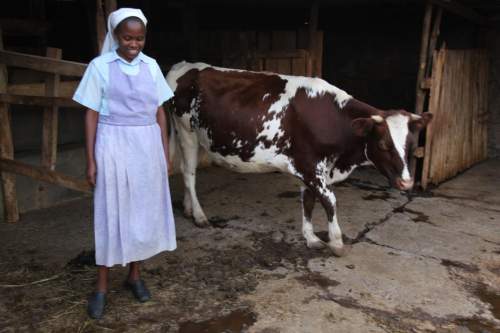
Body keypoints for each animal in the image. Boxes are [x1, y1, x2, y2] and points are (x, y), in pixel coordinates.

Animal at [166, 61, 432, 255]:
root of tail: (184, 65)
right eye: (383, 144)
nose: (407, 182)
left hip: (197, 137)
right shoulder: (310, 166)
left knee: (188, 172)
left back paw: (189, 209)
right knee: (189, 175)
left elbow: (309, 202)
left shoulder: (310, 169)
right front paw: (336, 242)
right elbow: (329, 201)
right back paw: (200, 216)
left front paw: (311, 238)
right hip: (186, 132)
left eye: (411, 146)